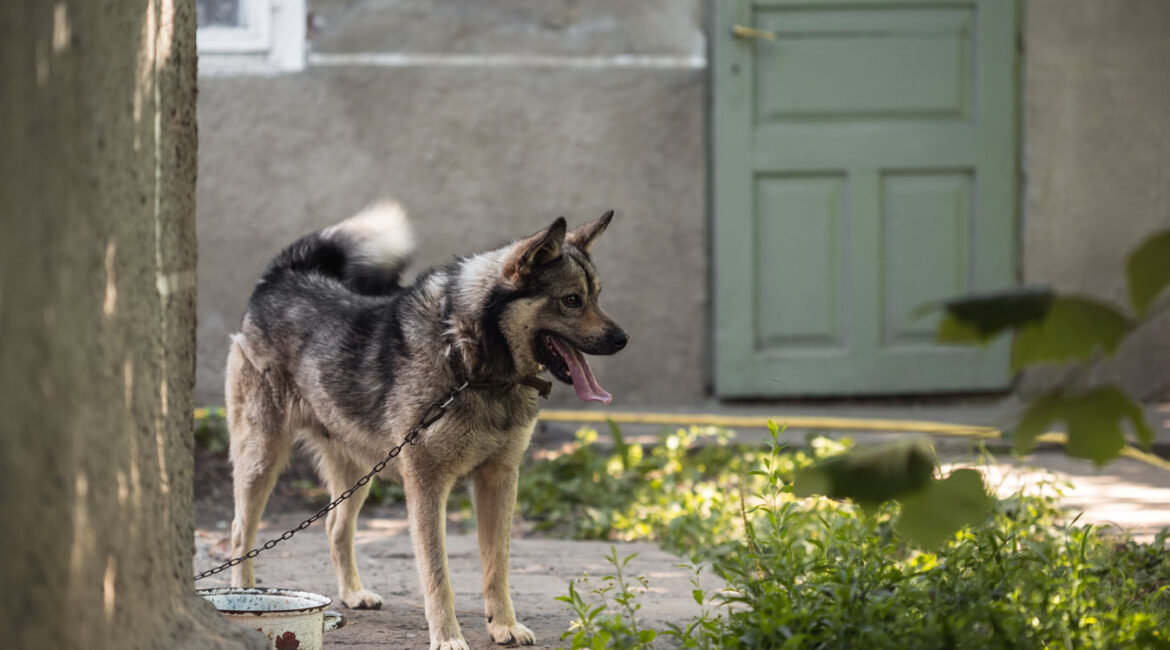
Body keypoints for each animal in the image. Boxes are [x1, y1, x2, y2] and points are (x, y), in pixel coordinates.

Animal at [223, 204, 627, 650]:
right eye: (571, 300)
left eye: (597, 297)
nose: (622, 338)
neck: (470, 363)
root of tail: (282, 278)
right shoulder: (427, 488)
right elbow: (437, 575)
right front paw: (448, 638)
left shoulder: (500, 479)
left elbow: (497, 565)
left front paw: (503, 625)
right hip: (262, 456)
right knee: (241, 532)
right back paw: (244, 599)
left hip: (358, 470)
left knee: (335, 526)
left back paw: (352, 593)